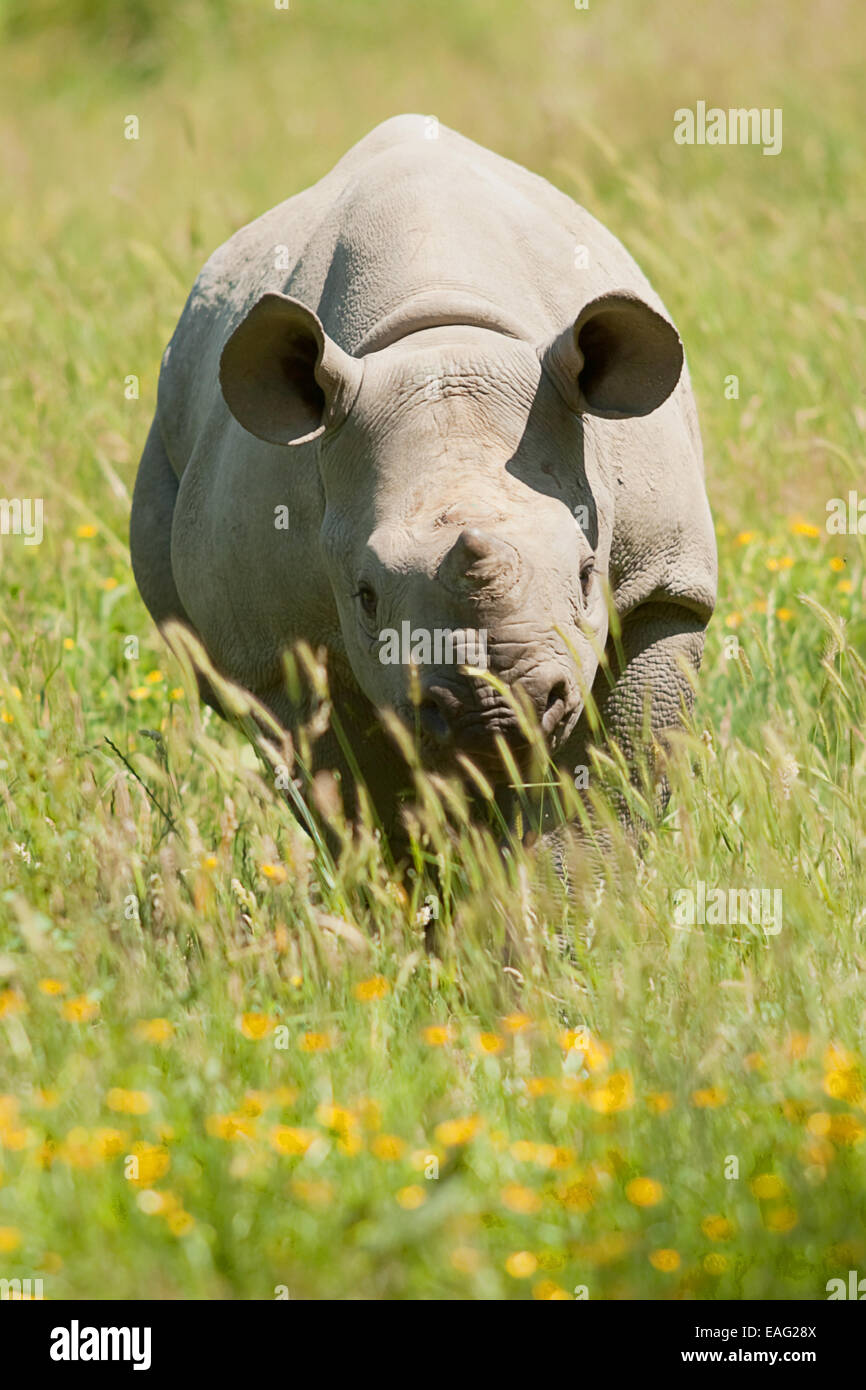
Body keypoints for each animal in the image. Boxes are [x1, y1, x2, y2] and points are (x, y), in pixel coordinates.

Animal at [131, 114, 716, 844]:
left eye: (588, 576)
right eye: (365, 597)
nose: (496, 713)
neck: (440, 339)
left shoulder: (666, 582)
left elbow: (608, 780)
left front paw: (571, 876)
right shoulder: (272, 644)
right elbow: (356, 793)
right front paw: (417, 873)